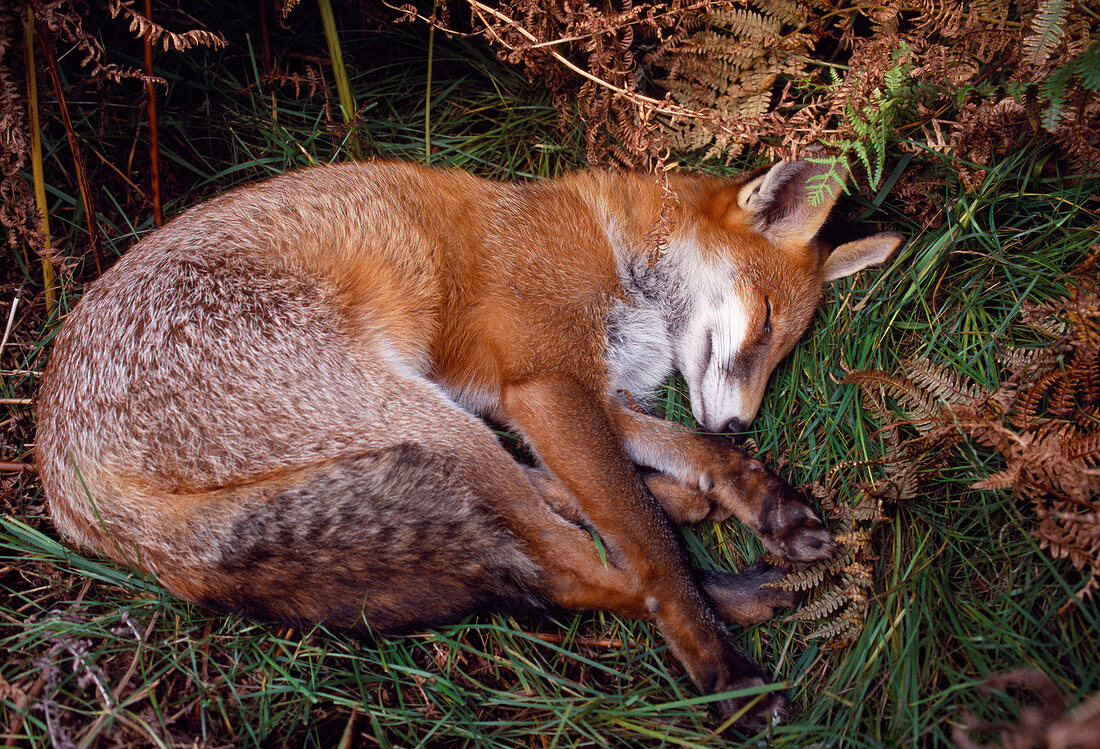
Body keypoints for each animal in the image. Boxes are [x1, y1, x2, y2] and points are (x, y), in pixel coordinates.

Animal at [36, 159, 902, 730]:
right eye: (765, 322)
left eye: (786, 347)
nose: (741, 424)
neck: (614, 243)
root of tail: (61, 480)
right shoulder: (547, 386)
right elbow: (651, 549)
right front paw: (720, 669)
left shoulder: (562, 395)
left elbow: (677, 457)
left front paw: (757, 494)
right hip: (422, 417)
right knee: (568, 568)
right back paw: (740, 605)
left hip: (436, 425)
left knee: (541, 522)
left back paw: (714, 531)